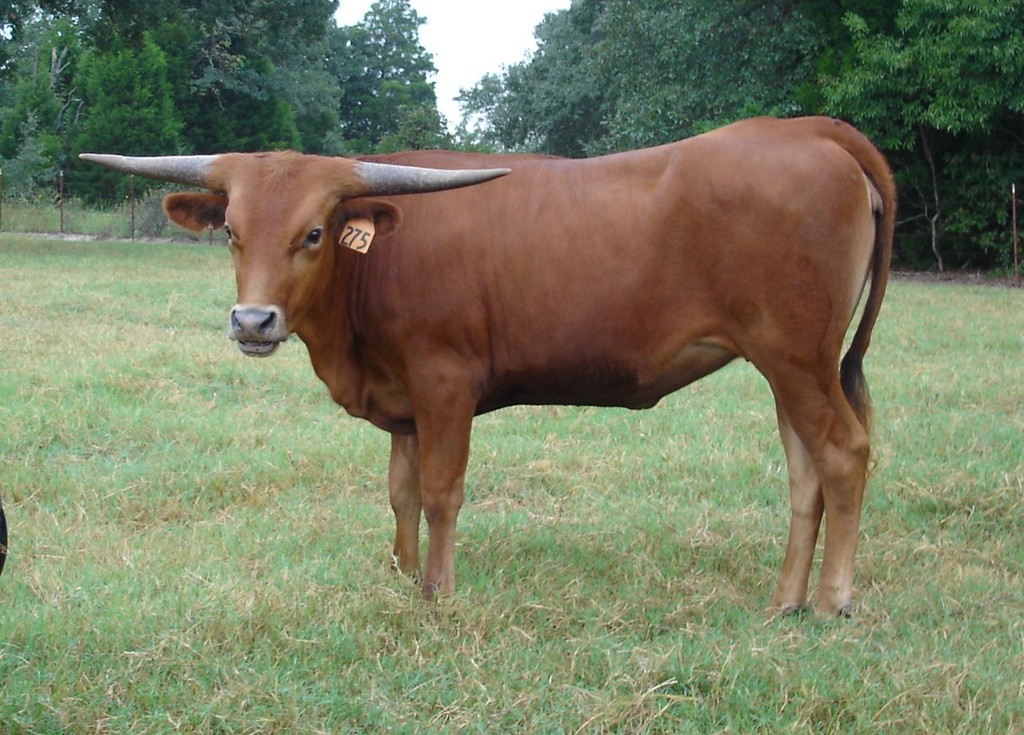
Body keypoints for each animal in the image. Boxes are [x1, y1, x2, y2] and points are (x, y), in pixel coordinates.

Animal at [81, 116, 895, 615]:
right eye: (232, 231)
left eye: (313, 233)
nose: (253, 321)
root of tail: (802, 128)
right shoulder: (404, 401)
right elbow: (401, 491)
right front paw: (402, 574)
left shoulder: (444, 382)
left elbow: (442, 491)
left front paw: (438, 591)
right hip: (789, 366)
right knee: (805, 472)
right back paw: (784, 599)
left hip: (798, 358)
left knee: (842, 454)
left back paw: (832, 599)